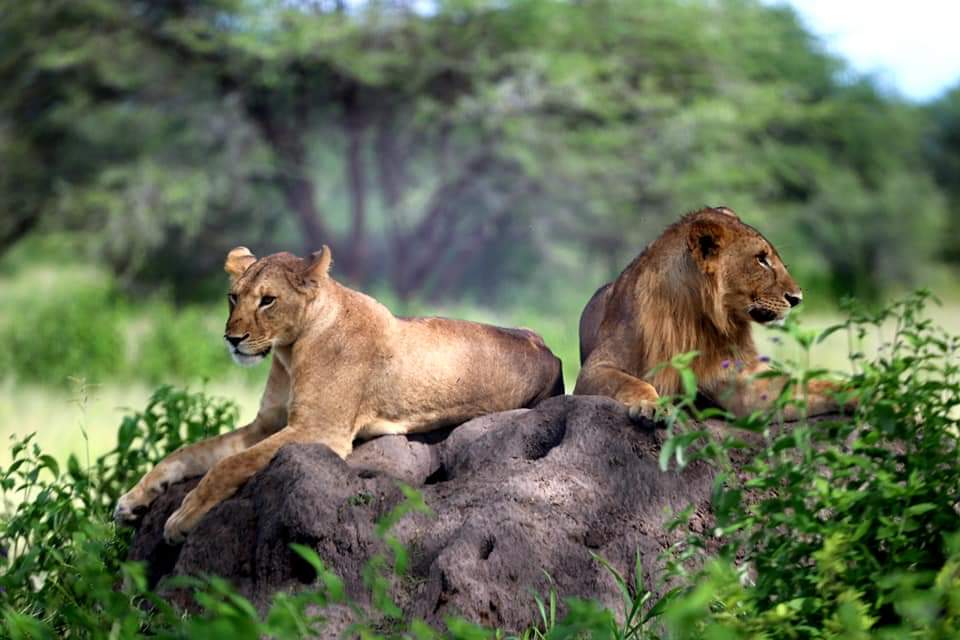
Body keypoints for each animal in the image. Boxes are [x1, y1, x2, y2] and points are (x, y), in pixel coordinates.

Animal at [116, 245, 564, 543]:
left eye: (268, 300)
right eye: (233, 297)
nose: (232, 339)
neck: (289, 352)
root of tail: (546, 346)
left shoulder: (320, 429)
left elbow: (228, 465)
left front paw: (182, 518)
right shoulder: (267, 424)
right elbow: (189, 453)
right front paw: (132, 500)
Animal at [575, 206, 848, 421]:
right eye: (761, 259)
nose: (797, 299)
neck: (693, 317)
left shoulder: (740, 382)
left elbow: (811, 387)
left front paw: (856, 391)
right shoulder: (596, 368)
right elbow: (632, 382)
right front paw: (652, 405)